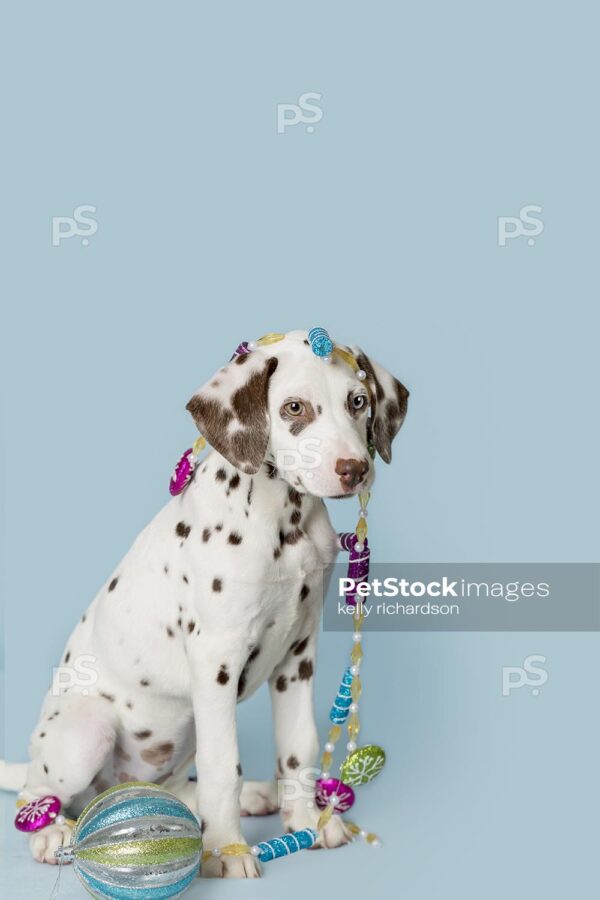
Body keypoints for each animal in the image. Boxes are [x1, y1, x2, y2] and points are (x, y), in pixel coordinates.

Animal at [0, 326, 408, 876]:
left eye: (358, 401)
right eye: (294, 408)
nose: (354, 469)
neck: (285, 522)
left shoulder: (298, 655)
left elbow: (298, 746)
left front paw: (305, 821)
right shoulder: (216, 659)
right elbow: (222, 767)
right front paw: (226, 850)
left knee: (170, 788)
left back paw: (256, 795)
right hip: (88, 732)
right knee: (35, 792)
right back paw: (50, 832)